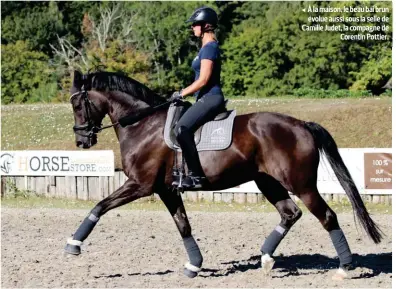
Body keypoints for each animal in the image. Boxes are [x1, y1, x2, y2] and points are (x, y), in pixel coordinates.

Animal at [65, 70, 384, 280]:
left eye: (77, 104)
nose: (81, 141)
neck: (142, 124)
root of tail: (302, 125)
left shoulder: (140, 185)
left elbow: (99, 206)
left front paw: (73, 245)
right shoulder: (166, 190)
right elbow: (183, 226)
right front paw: (194, 266)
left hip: (302, 184)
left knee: (326, 216)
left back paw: (344, 268)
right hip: (267, 181)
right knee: (290, 213)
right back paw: (266, 259)